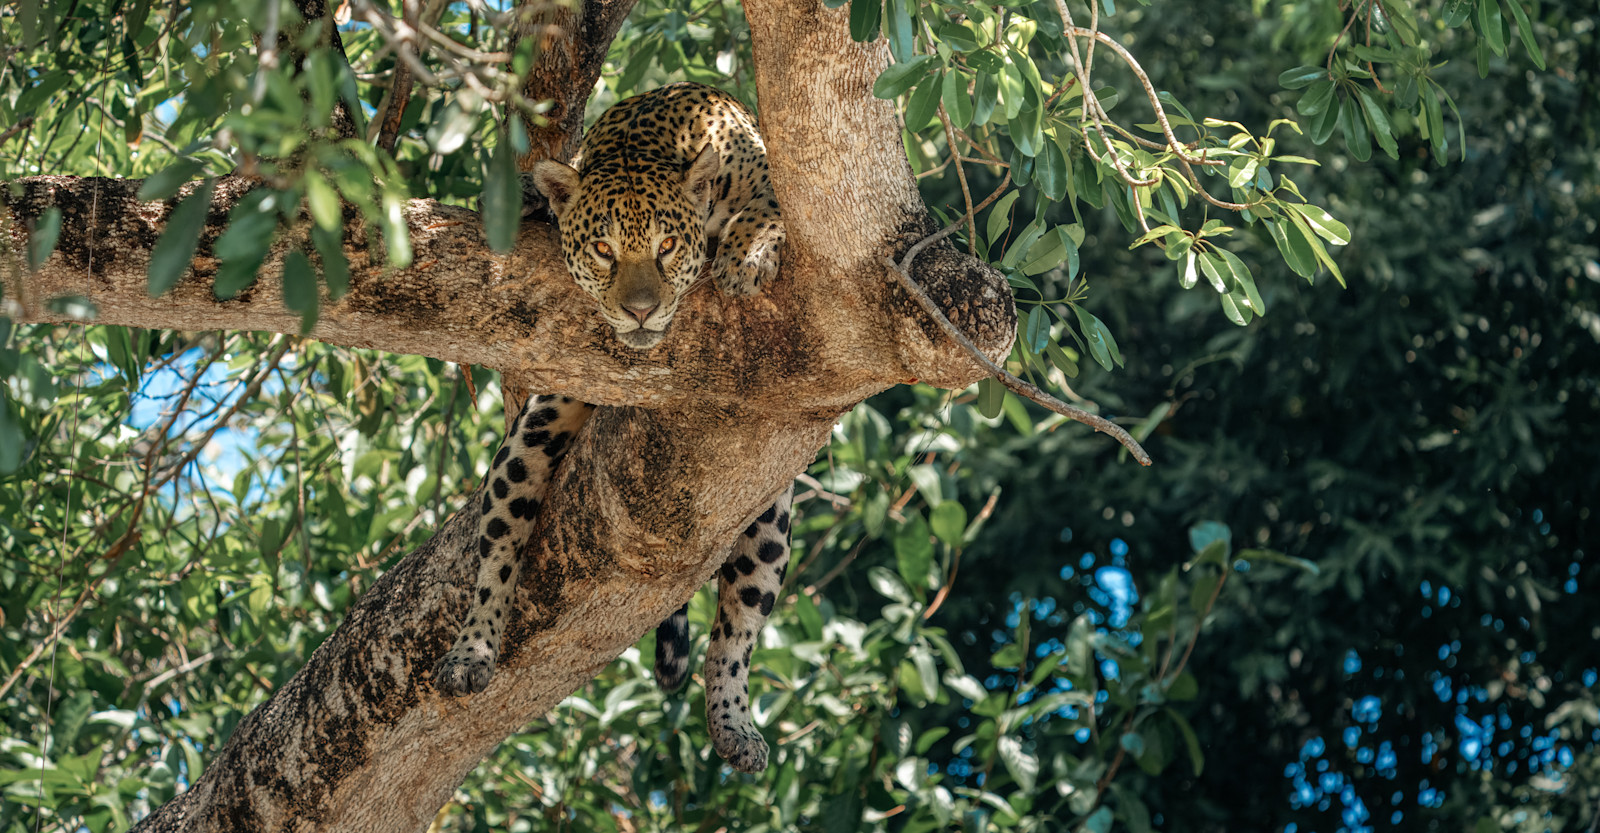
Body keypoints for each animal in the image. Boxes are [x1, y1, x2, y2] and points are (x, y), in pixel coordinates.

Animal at [433, 82, 792, 774]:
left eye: (667, 247)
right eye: (603, 251)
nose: (641, 311)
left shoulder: (771, 181)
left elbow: (769, 208)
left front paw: (745, 255)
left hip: (770, 513)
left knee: (737, 628)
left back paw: (734, 723)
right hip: (535, 429)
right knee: (496, 548)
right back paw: (472, 652)